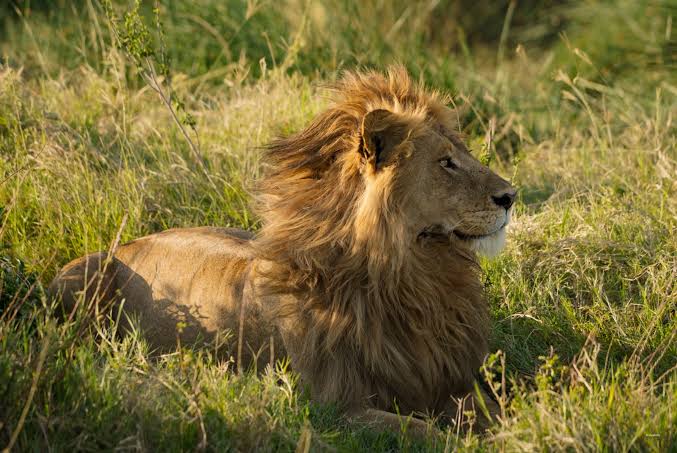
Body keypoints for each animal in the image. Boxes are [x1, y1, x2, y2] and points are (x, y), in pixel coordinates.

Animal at [49, 66, 516, 436]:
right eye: (446, 162)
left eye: (463, 155)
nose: (511, 196)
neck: (413, 279)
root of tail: (127, 243)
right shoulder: (336, 408)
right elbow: (427, 434)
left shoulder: (443, 382)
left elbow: (500, 411)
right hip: (83, 275)